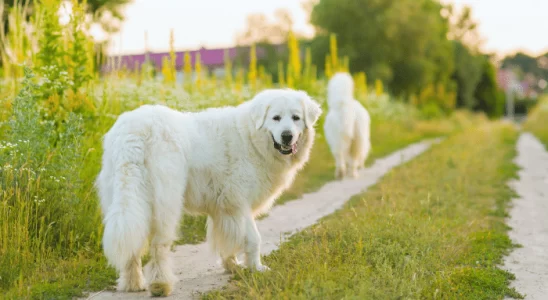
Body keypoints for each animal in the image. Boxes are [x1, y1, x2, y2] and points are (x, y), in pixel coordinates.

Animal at [96, 88, 324, 296]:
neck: (251, 138)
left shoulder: (224, 209)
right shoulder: (239, 203)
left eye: (295, 118)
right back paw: (161, 284)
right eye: (276, 118)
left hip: (127, 200)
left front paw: (232, 265)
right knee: (158, 245)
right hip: (166, 201)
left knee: (132, 244)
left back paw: (133, 283)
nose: (287, 136)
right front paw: (256, 269)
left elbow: (227, 238)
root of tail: (133, 133)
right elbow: (253, 238)